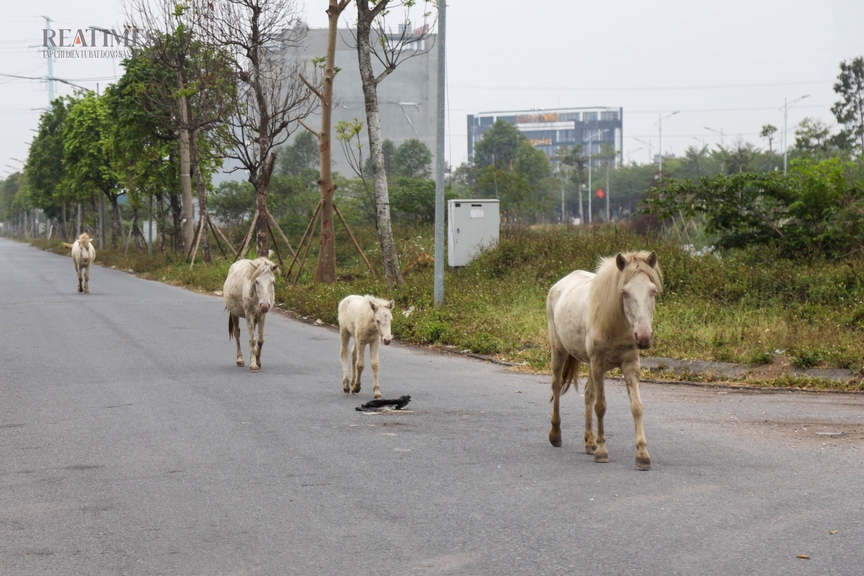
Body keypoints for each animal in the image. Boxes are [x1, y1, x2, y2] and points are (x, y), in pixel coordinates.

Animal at [548, 251, 660, 468]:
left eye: (653, 291)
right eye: (624, 292)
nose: (643, 337)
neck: (616, 324)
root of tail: (559, 285)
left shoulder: (630, 365)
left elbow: (636, 407)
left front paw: (642, 454)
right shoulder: (598, 364)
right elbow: (601, 407)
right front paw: (602, 452)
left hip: (591, 365)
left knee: (588, 393)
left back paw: (590, 442)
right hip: (559, 351)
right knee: (556, 387)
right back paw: (556, 435)